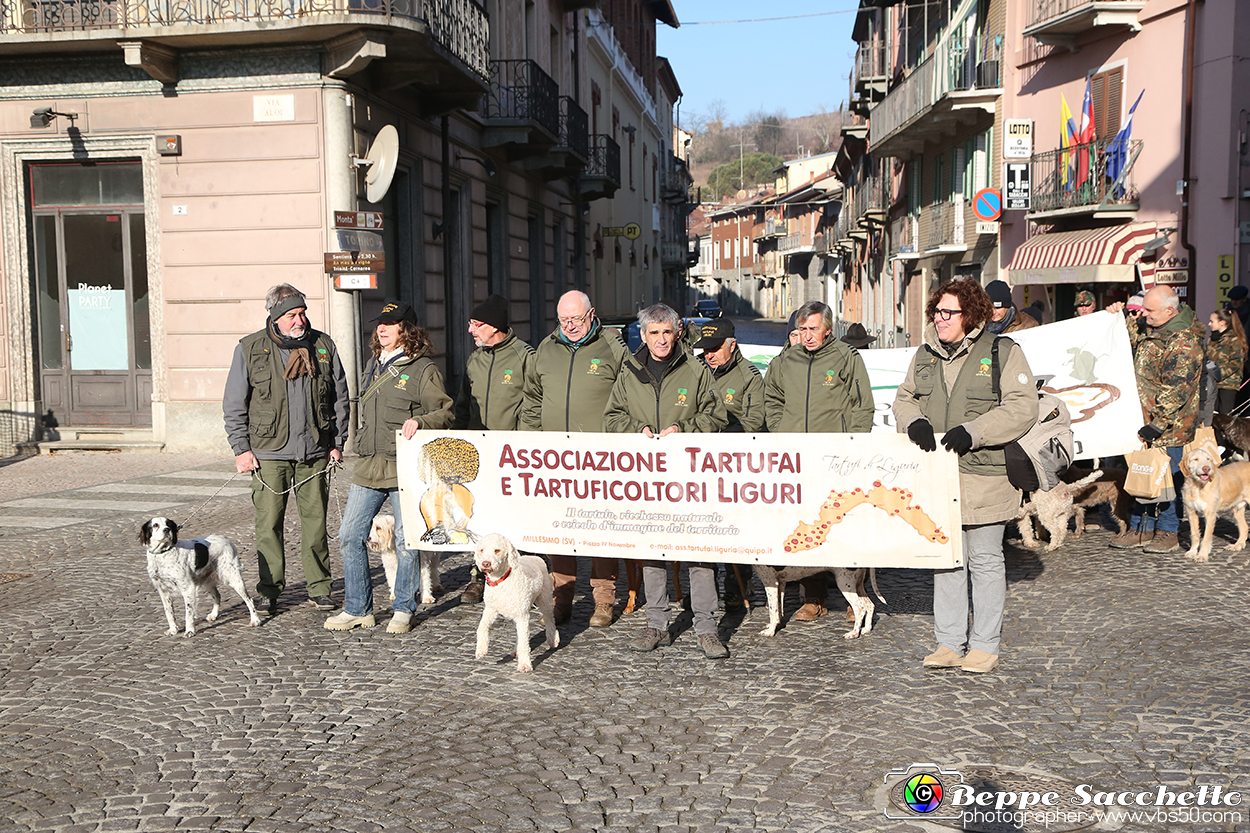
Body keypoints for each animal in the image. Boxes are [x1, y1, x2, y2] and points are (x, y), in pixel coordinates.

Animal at [472, 532, 562, 670]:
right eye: (481, 550)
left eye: (497, 550)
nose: (485, 563)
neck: (502, 581)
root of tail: (534, 557)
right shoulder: (490, 609)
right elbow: (481, 627)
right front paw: (481, 650)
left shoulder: (522, 615)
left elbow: (524, 642)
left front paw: (525, 665)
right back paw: (516, 650)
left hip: (545, 598)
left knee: (549, 619)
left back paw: (553, 639)